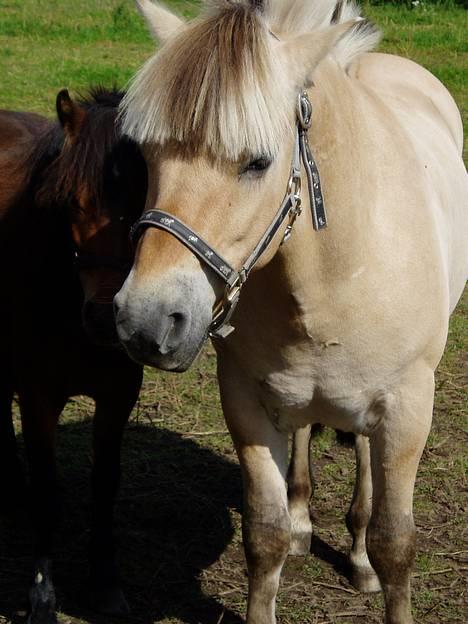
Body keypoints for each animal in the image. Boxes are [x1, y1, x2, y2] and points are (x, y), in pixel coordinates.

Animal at [0, 88, 146, 624]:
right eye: (70, 204)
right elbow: (48, 488)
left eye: (144, 203)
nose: (104, 317)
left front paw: (104, 583)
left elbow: (105, 482)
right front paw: (43, 595)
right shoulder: (38, 393)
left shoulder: (118, 394)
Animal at [115, 2, 466, 620]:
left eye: (258, 162)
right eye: (147, 155)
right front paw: (290, 531)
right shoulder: (246, 400)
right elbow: (265, 534)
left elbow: (396, 544)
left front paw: (372, 557)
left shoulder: (406, 410)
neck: (343, 265)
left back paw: (358, 555)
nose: (147, 323)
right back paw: (306, 520)